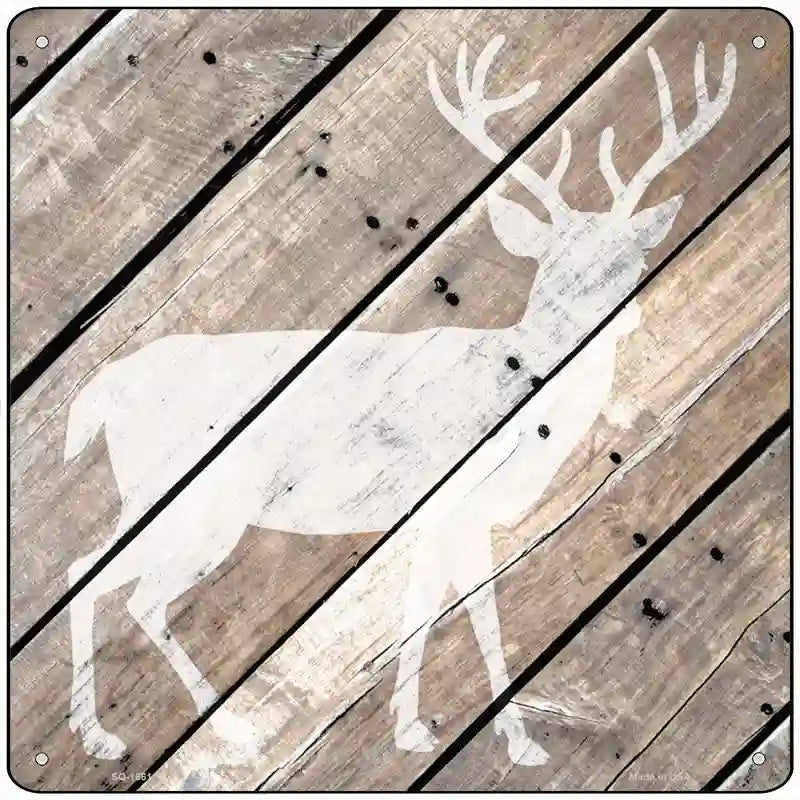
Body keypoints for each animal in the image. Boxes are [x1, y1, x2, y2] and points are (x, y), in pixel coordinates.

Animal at [63, 35, 735, 768]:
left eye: (629, 259)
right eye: (556, 265)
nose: (621, 314)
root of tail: (103, 387)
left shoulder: (432, 516)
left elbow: (419, 613)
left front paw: (413, 729)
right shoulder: (459, 504)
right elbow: (476, 612)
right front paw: (515, 739)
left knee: (92, 572)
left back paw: (108, 732)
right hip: (197, 504)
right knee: (127, 590)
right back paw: (191, 729)